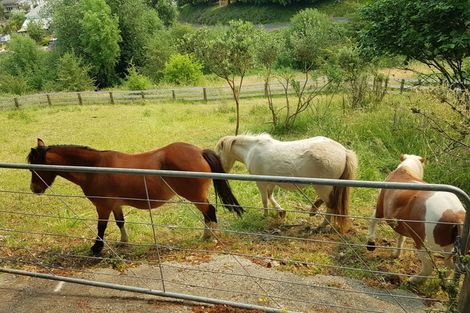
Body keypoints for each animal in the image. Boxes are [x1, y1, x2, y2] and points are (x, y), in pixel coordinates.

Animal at [27, 138, 244, 254]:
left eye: (35, 168)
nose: (34, 189)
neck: (94, 168)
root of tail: (198, 151)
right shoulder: (115, 204)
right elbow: (120, 222)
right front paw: (123, 242)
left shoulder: (102, 206)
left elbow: (101, 227)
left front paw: (96, 248)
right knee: (207, 212)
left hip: (195, 195)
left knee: (210, 211)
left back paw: (212, 236)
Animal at [215, 133, 358, 233]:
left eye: (217, 155)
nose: (220, 172)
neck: (251, 150)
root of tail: (344, 151)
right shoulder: (271, 182)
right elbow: (270, 196)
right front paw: (281, 211)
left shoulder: (260, 182)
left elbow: (264, 200)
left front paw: (265, 215)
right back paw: (314, 209)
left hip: (322, 187)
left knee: (331, 204)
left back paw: (321, 225)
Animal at [368, 154, 466, 282]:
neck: (405, 169)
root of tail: (456, 215)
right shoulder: (401, 223)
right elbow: (401, 238)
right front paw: (396, 254)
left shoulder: (380, 209)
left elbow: (372, 220)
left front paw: (370, 243)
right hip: (448, 248)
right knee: (450, 266)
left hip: (423, 245)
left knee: (429, 267)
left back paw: (414, 280)